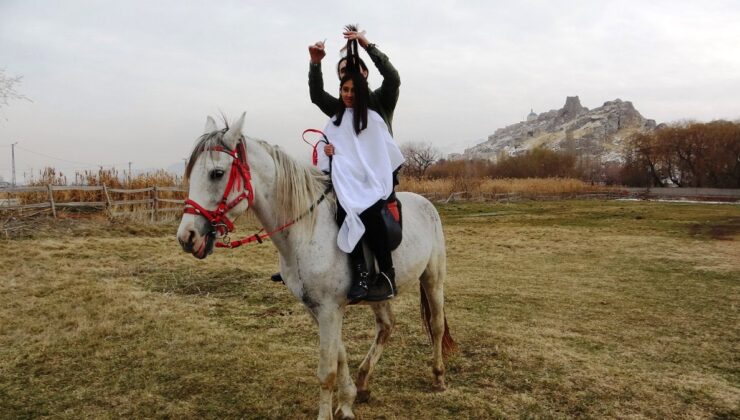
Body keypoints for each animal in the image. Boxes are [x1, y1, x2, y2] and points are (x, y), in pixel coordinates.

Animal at [179, 113, 456, 418]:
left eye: (217, 173)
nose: (187, 237)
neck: (306, 230)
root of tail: (425, 203)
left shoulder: (329, 309)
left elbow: (327, 371)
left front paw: (330, 411)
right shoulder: (317, 309)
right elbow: (339, 355)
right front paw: (346, 402)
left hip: (433, 278)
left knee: (436, 324)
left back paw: (439, 376)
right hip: (381, 294)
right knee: (386, 326)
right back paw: (364, 383)